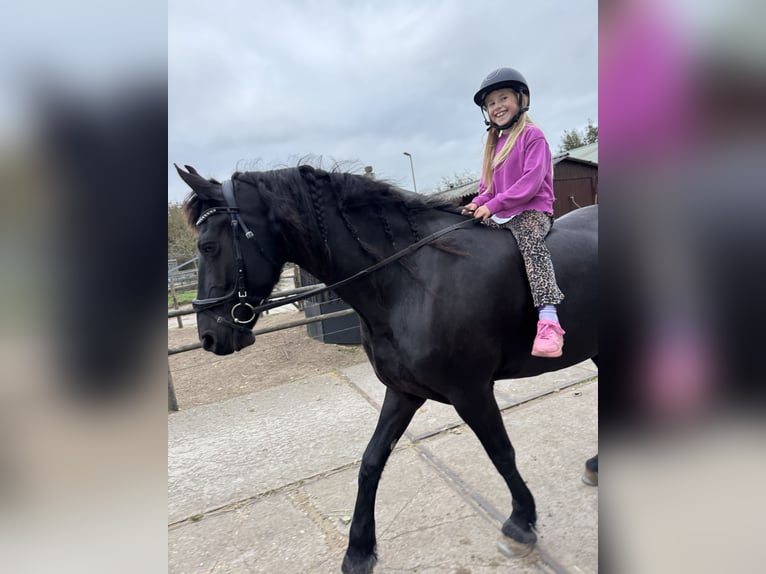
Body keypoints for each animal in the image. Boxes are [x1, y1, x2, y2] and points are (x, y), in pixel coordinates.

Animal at [177, 164, 598, 574]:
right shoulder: (403, 392)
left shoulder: (472, 392)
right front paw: (359, 549)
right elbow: (371, 462)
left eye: (208, 246)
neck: (411, 280)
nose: (210, 336)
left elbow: (501, 453)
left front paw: (521, 522)